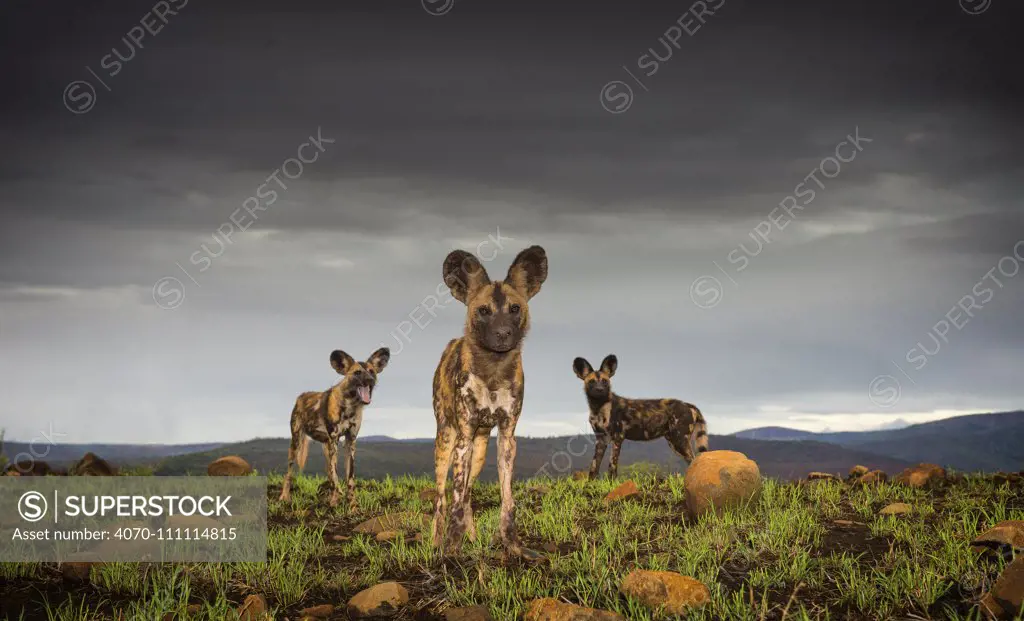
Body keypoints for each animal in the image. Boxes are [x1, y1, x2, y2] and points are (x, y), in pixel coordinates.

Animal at [278, 348, 389, 508]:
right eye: (357, 373)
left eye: (372, 371)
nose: (370, 380)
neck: (350, 406)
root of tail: (301, 396)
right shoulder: (335, 440)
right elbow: (336, 475)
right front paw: (335, 502)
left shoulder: (350, 442)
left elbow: (349, 478)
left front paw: (352, 505)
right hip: (297, 444)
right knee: (289, 473)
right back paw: (284, 497)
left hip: (326, 446)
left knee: (329, 472)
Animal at [430, 244, 548, 561]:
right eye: (483, 311)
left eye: (515, 309)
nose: (503, 334)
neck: (493, 370)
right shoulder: (463, 438)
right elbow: (455, 501)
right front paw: (451, 550)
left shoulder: (507, 437)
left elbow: (507, 501)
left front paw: (513, 546)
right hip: (447, 441)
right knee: (442, 497)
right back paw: (436, 542)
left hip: (480, 448)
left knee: (469, 493)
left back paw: (471, 538)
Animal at [573, 354, 708, 481]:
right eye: (592, 382)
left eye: (605, 381)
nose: (600, 389)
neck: (599, 407)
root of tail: (687, 404)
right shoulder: (601, 440)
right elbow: (594, 467)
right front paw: (590, 484)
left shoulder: (617, 438)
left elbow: (612, 466)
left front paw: (611, 483)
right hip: (673, 441)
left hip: (679, 441)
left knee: (693, 460)